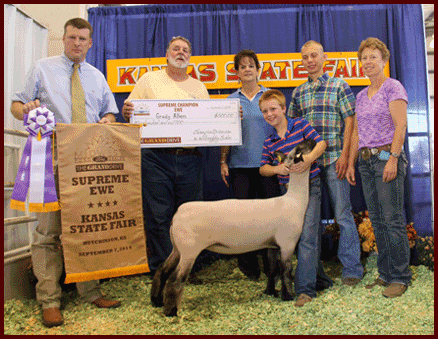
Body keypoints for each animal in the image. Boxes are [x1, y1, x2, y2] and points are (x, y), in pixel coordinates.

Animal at [151, 139, 314, 318]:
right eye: (298, 151)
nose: (313, 140)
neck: (295, 200)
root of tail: (177, 215)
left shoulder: (272, 245)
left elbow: (272, 269)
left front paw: (271, 292)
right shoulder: (287, 243)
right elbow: (285, 270)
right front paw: (288, 296)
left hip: (177, 248)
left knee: (162, 270)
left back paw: (156, 301)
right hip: (189, 250)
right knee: (176, 278)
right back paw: (170, 311)